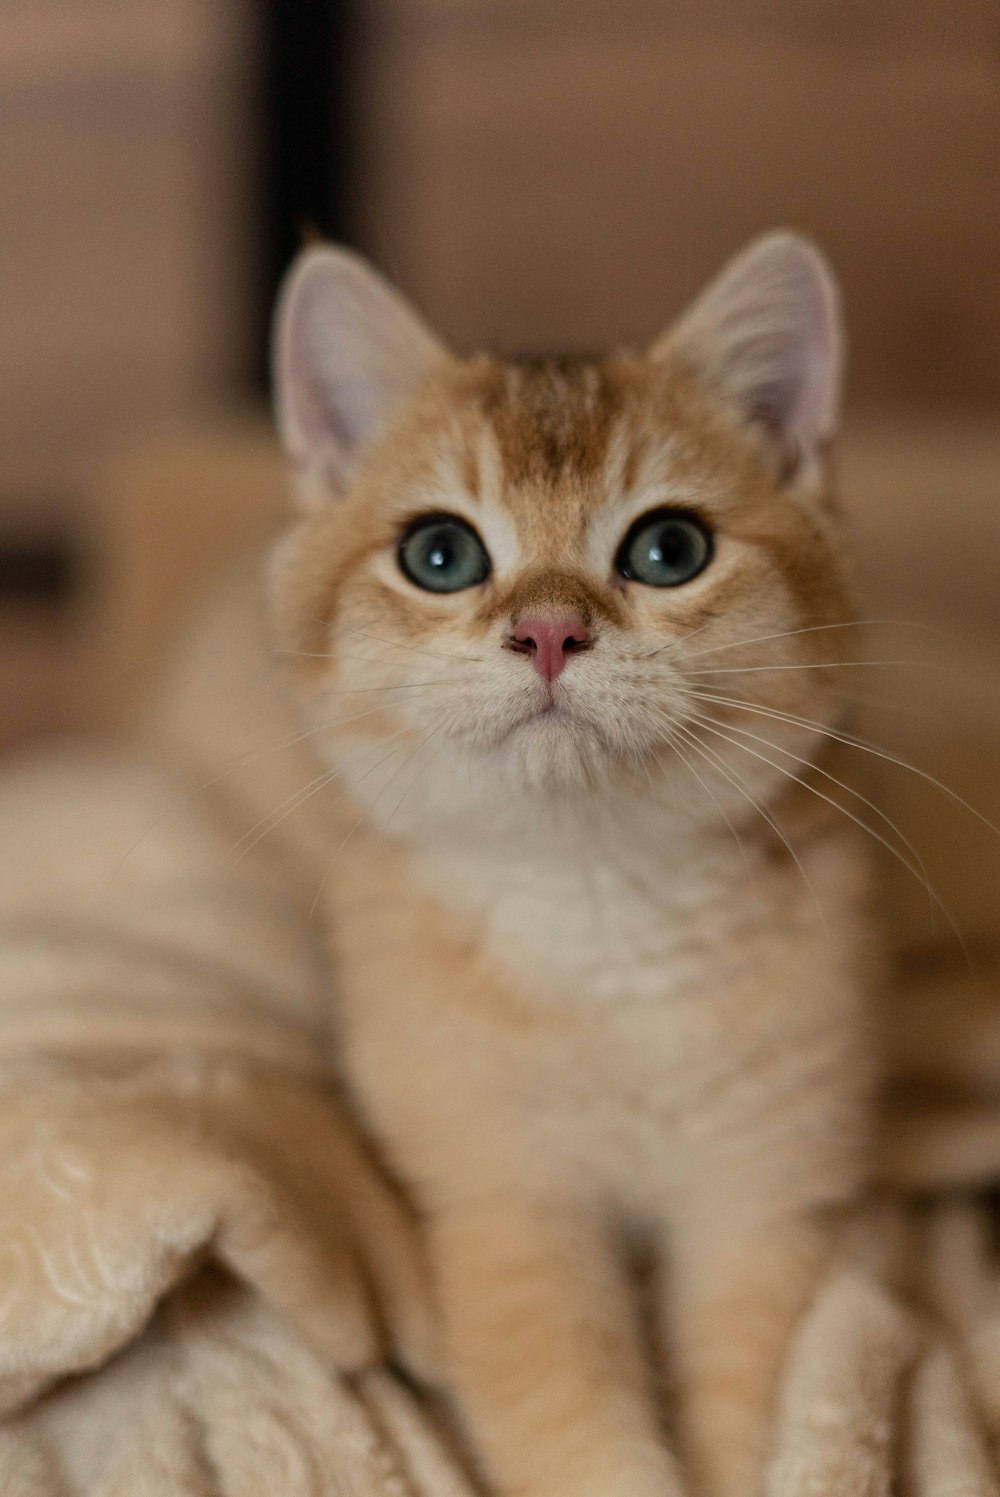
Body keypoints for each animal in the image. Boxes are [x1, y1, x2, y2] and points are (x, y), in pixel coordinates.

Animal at [267, 230, 874, 1497]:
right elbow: (570, 1420)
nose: (548, 631)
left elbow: (743, 1397)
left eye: (669, 548)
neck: (599, 912)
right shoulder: (506, 1207)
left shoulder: (759, 1201)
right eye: (440, 553)